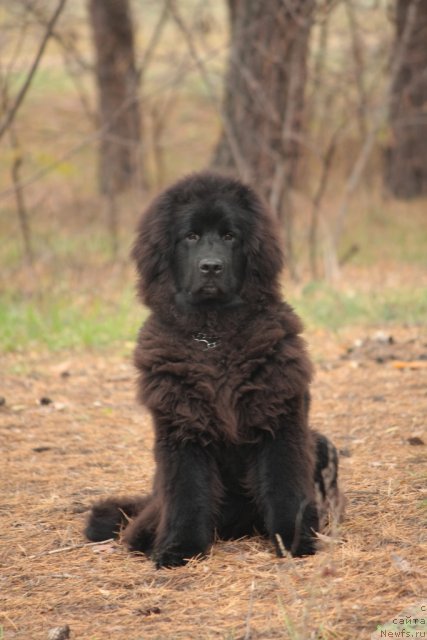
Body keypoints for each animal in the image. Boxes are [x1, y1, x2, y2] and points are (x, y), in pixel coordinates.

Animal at [85, 172, 342, 568]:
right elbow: (188, 495)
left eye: (229, 236)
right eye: (190, 236)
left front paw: (294, 542)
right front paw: (180, 549)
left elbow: (284, 487)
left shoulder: (279, 424)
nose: (211, 267)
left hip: (321, 442)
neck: (214, 336)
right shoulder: (183, 431)